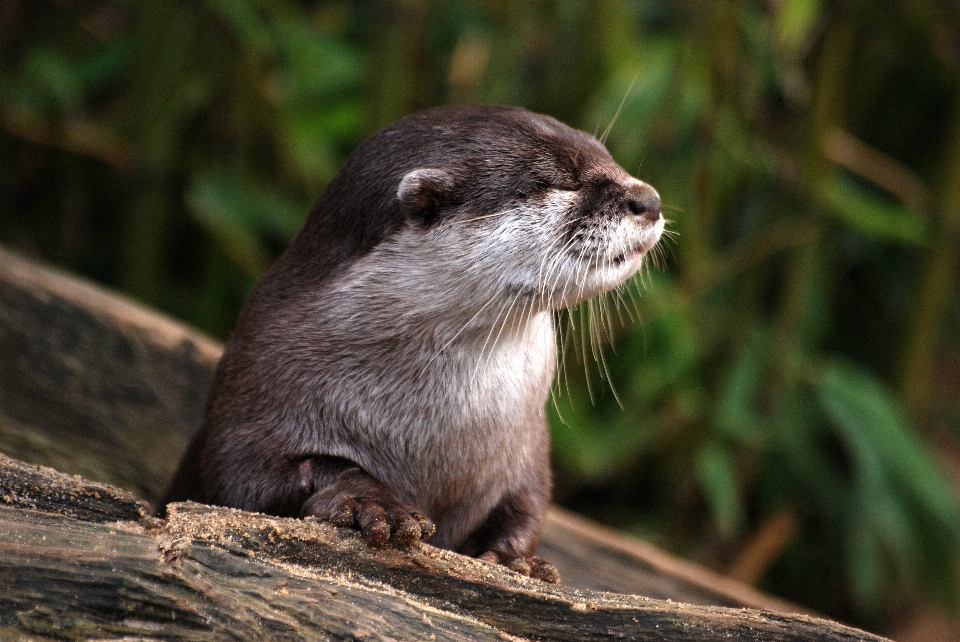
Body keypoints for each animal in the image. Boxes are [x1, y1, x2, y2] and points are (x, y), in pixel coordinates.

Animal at [163, 105, 660, 580]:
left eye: (606, 155)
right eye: (551, 182)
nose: (649, 200)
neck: (437, 432)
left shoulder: (528, 444)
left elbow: (530, 502)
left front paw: (516, 559)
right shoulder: (251, 401)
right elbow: (251, 481)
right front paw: (371, 503)